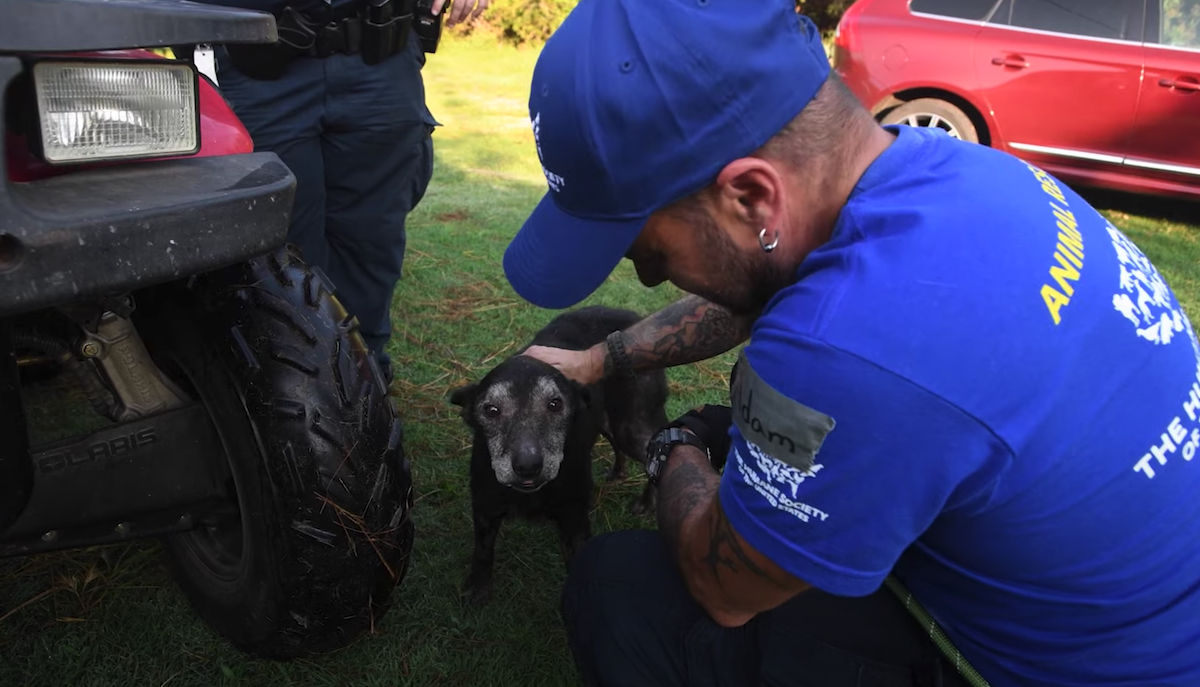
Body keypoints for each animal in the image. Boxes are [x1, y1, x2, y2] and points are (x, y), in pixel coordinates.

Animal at [448, 307, 672, 602]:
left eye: (555, 404)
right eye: (491, 410)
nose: (528, 466)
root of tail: (632, 315)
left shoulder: (573, 520)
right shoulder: (486, 507)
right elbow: (483, 551)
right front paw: (478, 586)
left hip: (631, 427)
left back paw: (647, 502)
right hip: (606, 421)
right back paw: (617, 472)